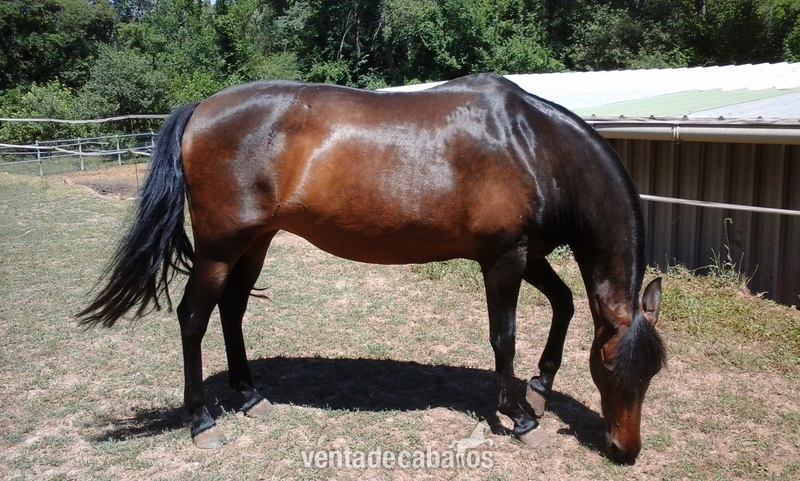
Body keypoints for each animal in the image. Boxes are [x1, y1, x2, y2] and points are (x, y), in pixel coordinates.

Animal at [77, 73, 666, 464]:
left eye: (652, 373)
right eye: (609, 370)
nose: (625, 450)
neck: (533, 146)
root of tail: (200, 109)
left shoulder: (527, 254)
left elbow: (564, 304)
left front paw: (540, 386)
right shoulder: (504, 258)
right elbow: (505, 336)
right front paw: (520, 416)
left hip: (256, 242)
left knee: (233, 310)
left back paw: (250, 397)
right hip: (221, 247)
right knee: (194, 317)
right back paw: (201, 421)